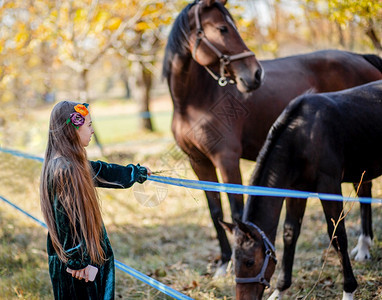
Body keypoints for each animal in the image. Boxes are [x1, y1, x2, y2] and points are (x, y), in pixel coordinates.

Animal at [163, 0, 382, 274]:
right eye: (223, 28)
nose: (255, 74)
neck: (195, 101)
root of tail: (361, 57)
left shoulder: (226, 159)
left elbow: (236, 210)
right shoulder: (199, 163)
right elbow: (215, 212)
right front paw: (223, 262)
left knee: (364, 191)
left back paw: (363, 247)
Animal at [222, 79, 382, 300]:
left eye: (249, 262)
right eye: (233, 263)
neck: (303, 136)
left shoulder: (329, 185)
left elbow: (337, 234)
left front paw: (348, 290)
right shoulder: (295, 190)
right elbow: (290, 233)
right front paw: (279, 290)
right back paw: (364, 247)